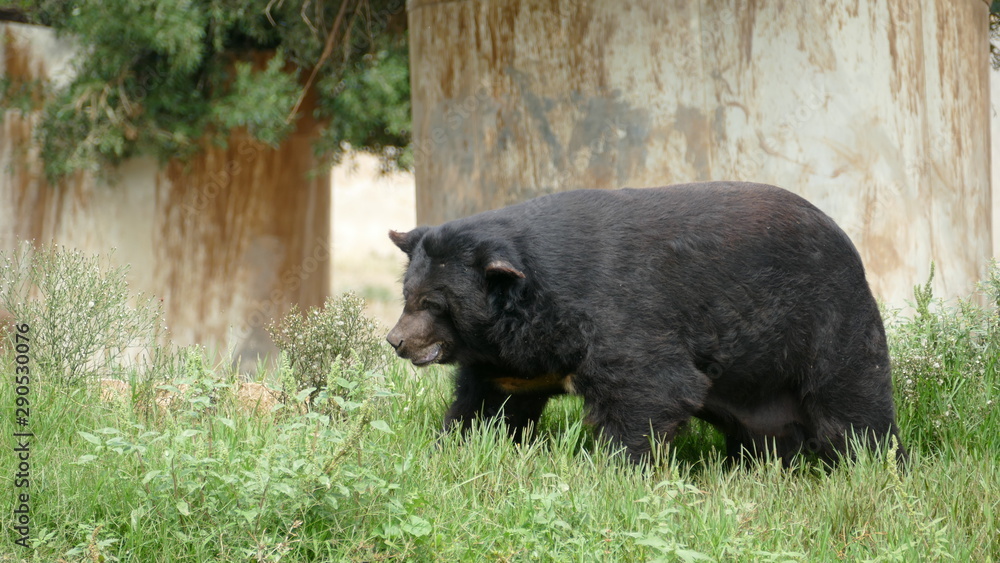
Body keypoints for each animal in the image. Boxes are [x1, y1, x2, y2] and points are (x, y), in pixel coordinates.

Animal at [386, 182, 906, 466]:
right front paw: (452, 447)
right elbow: (488, 404)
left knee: (853, 408)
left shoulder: (623, 312)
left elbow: (650, 387)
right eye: (408, 297)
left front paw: (617, 469)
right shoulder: (512, 362)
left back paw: (877, 467)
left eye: (434, 303)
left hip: (826, 322)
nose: (396, 341)